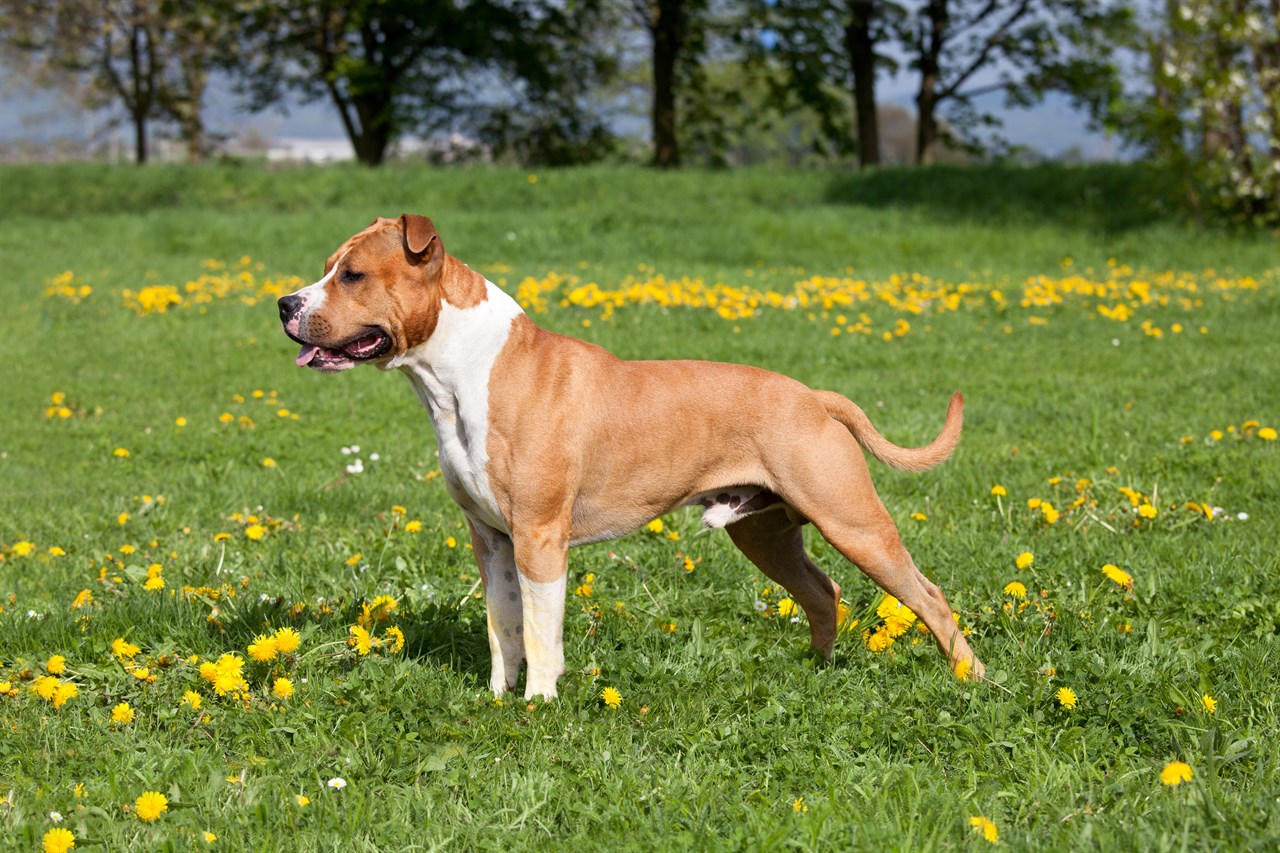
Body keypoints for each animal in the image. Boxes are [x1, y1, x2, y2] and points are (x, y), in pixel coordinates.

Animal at [277, 213, 977, 696]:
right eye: (327, 267)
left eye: (352, 275)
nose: (284, 303)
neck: (463, 371)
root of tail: (813, 397)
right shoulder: (491, 540)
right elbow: (503, 626)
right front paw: (500, 698)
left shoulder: (539, 537)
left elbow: (541, 630)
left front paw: (539, 704)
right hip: (765, 534)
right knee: (823, 591)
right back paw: (819, 671)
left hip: (853, 522)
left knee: (929, 596)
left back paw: (970, 681)